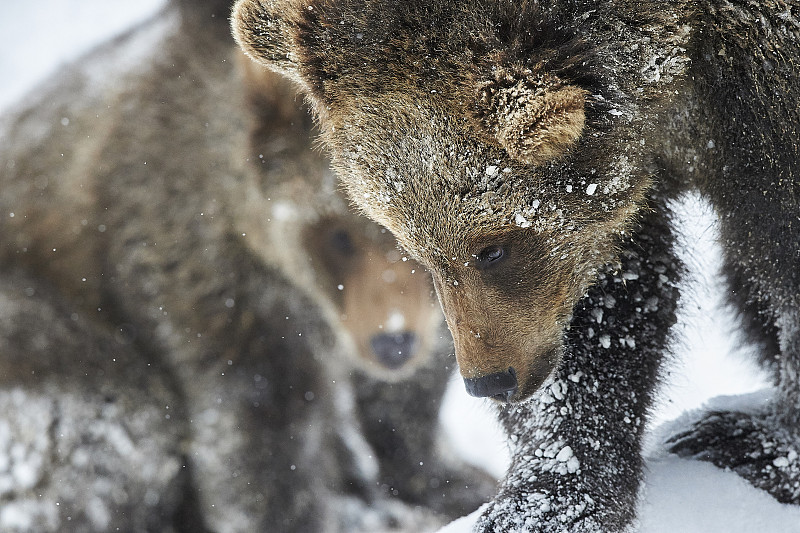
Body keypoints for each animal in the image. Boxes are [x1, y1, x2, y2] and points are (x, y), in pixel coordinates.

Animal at [0, 2, 494, 528]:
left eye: (420, 243)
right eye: (340, 234)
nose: (393, 343)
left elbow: (411, 399)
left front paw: (451, 477)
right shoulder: (211, 285)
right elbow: (260, 435)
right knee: (120, 423)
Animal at [231, 0, 800, 528]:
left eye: (492, 249)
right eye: (417, 253)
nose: (490, 380)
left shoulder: (760, 84)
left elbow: (780, 248)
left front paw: (757, 444)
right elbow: (605, 306)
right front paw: (548, 495)